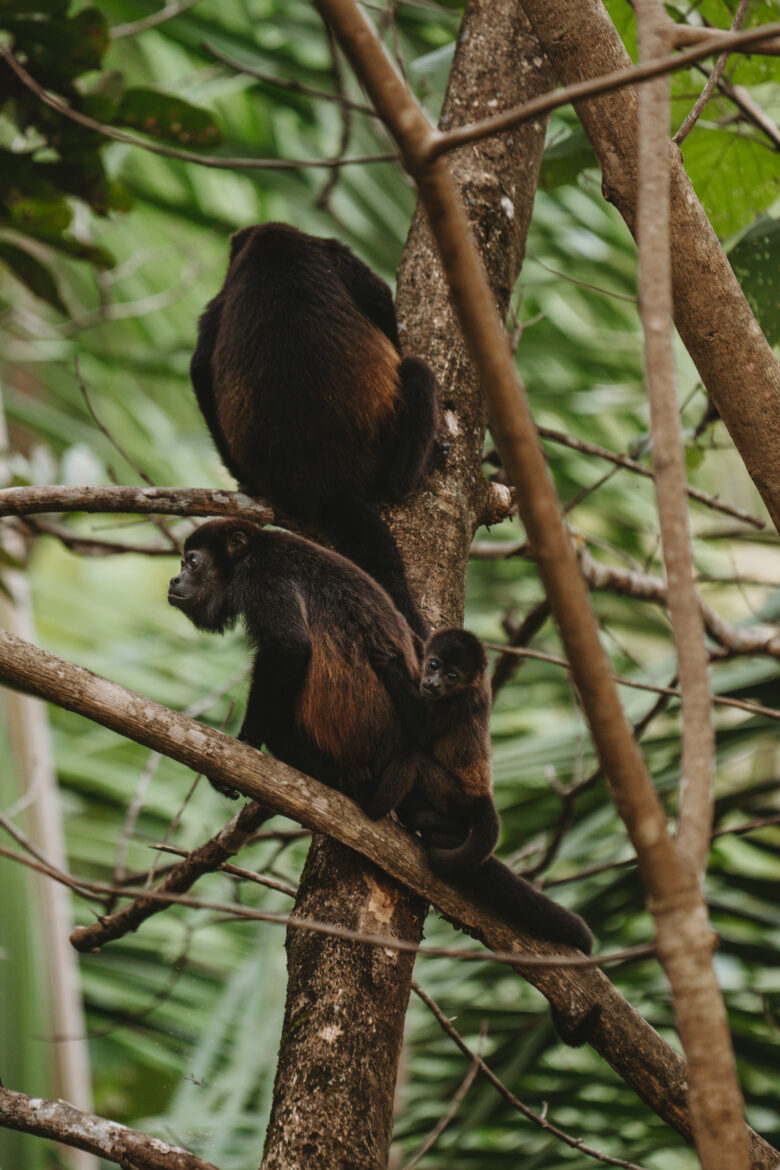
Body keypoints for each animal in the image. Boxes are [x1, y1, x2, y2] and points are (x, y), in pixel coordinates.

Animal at [187, 219, 437, 641]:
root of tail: (324, 485)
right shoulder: (336, 253)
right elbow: (381, 302)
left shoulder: (222, 296)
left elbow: (201, 365)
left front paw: (243, 480)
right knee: (419, 373)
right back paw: (414, 473)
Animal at [360, 631, 500, 879]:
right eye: (434, 665)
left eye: (451, 676)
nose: (433, 683)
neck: (472, 683)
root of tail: (483, 794)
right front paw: (417, 640)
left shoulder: (457, 702)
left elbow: (421, 731)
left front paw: (391, 666)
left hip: (453, 794)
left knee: (413, 759)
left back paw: (372, 807)